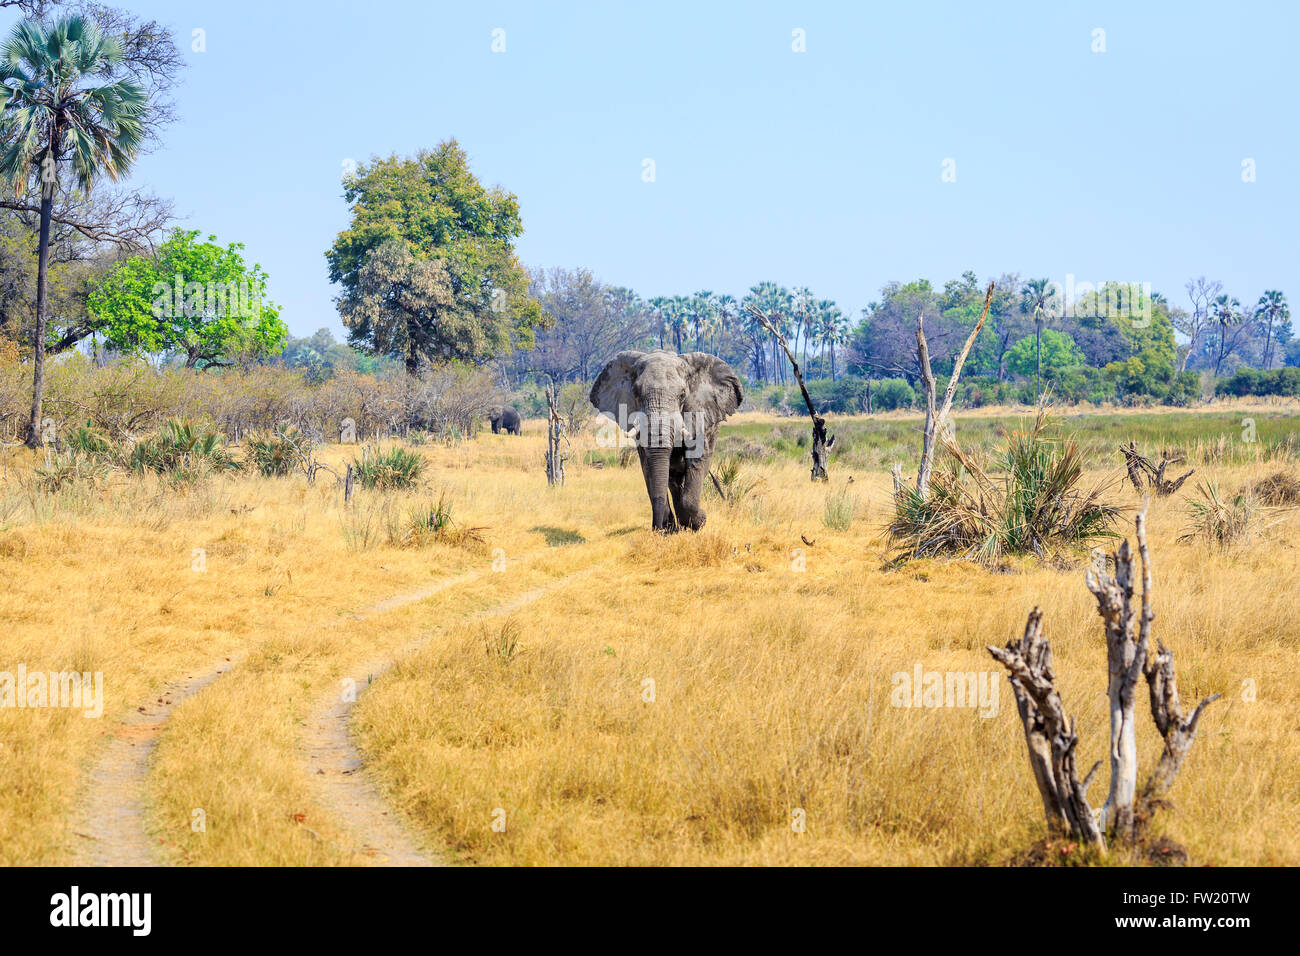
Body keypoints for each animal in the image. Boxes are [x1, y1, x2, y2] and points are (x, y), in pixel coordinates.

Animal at [590, 348, 743, 535]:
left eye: (683, 394)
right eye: (636, 394)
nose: (656, 528)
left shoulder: (700, 415)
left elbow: (697, 460)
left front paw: (700, 522)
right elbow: (648, 466)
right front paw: (669, 531)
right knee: (673, 478)